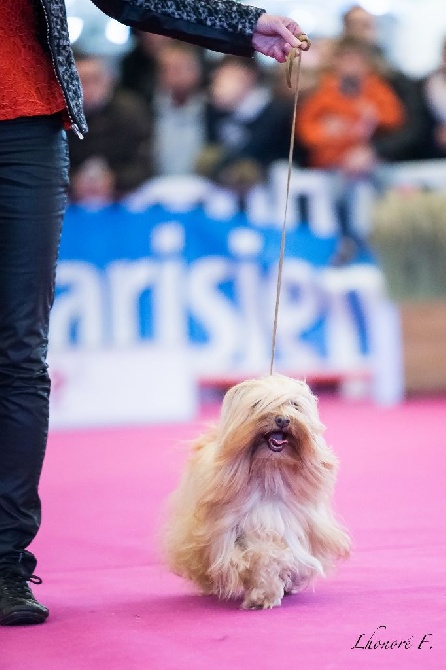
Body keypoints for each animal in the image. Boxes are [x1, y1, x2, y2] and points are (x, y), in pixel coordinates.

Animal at [162, 376, 350, 612]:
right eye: (259, 404)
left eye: (294, 405)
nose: (283, 420)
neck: (270, 473)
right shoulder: (237, 531)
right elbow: (263, 557)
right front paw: (263, 595)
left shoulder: (295, 527)